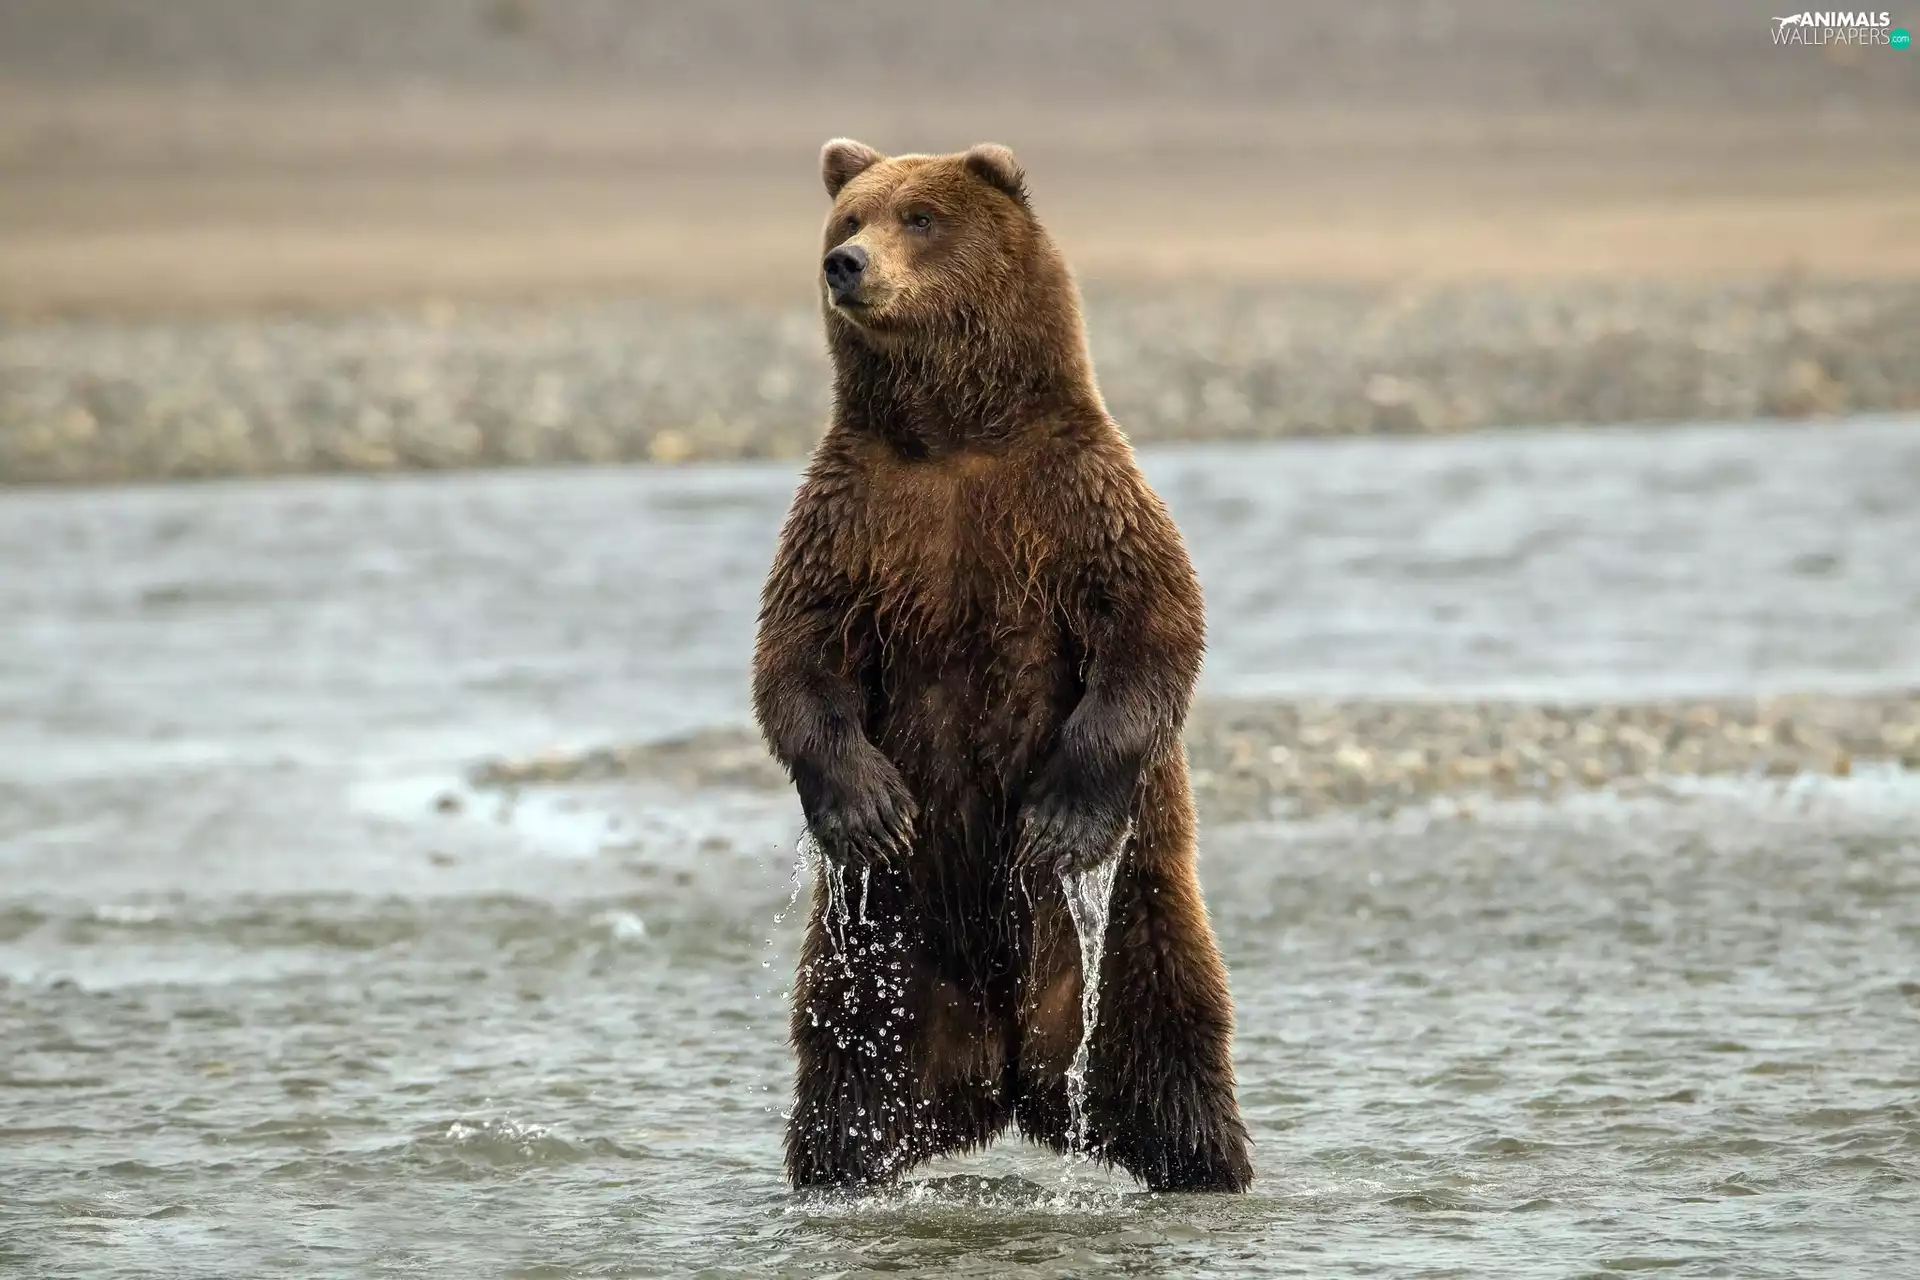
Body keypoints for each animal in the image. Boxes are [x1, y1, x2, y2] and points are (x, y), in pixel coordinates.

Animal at [751, 138, 1252, 1193]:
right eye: (849, 216)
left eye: (920, 217)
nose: (845, 265)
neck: (953, 438)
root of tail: (1009, 1075)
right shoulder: (853, 521)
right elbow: (798, 658)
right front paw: (868, 809)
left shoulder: (1076, 500)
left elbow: (1153, 629)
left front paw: (1059, 820)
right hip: (880, 952)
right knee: (846, 1071)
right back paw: (839, 1174)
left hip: (1136, 920)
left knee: (1171, 1047)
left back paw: (1209, 1167)